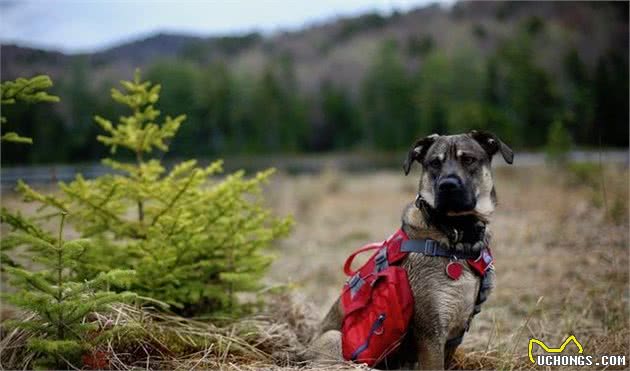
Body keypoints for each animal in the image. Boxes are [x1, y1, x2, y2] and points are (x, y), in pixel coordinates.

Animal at [308, 131, 516, 370]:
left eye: (468, 159)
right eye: (434, 163)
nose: (447, 185)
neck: (454, 232)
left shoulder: (455, 334)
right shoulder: (431, 333)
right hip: (333, 338)